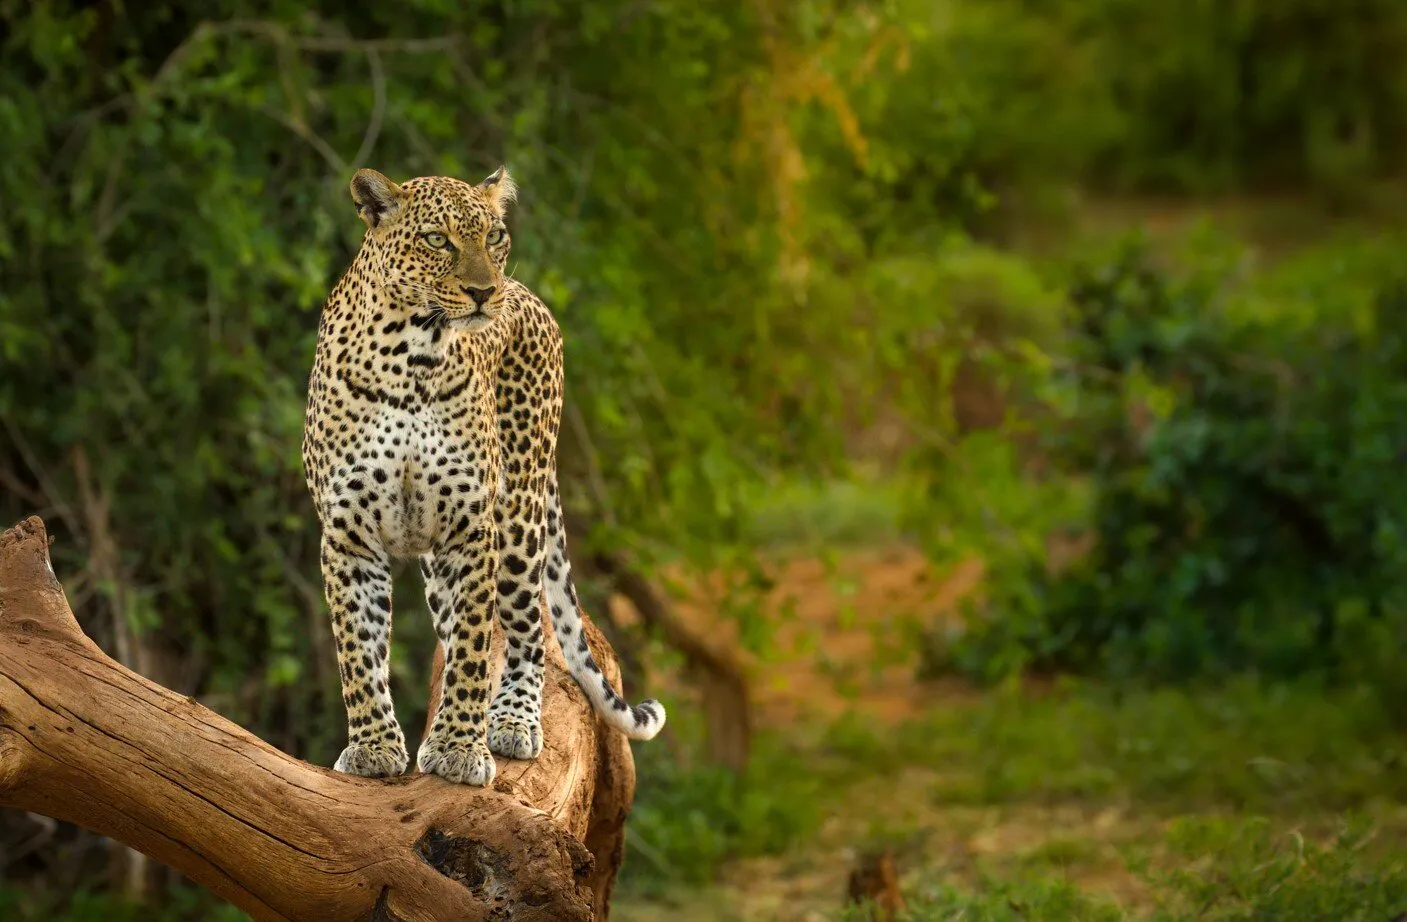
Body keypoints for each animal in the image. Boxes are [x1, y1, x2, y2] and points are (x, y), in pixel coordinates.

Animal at [301, 166, 666, 786]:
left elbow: (475, 644)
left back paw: (511, 721)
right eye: (436, 240)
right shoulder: (349, 534)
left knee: (527, 630)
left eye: (494, 235)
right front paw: (374, 747)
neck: (411, 360)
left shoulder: (471, 527)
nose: (483, 292)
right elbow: (359, 648)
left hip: (518, 517)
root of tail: (528, 295)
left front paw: (459, 748)